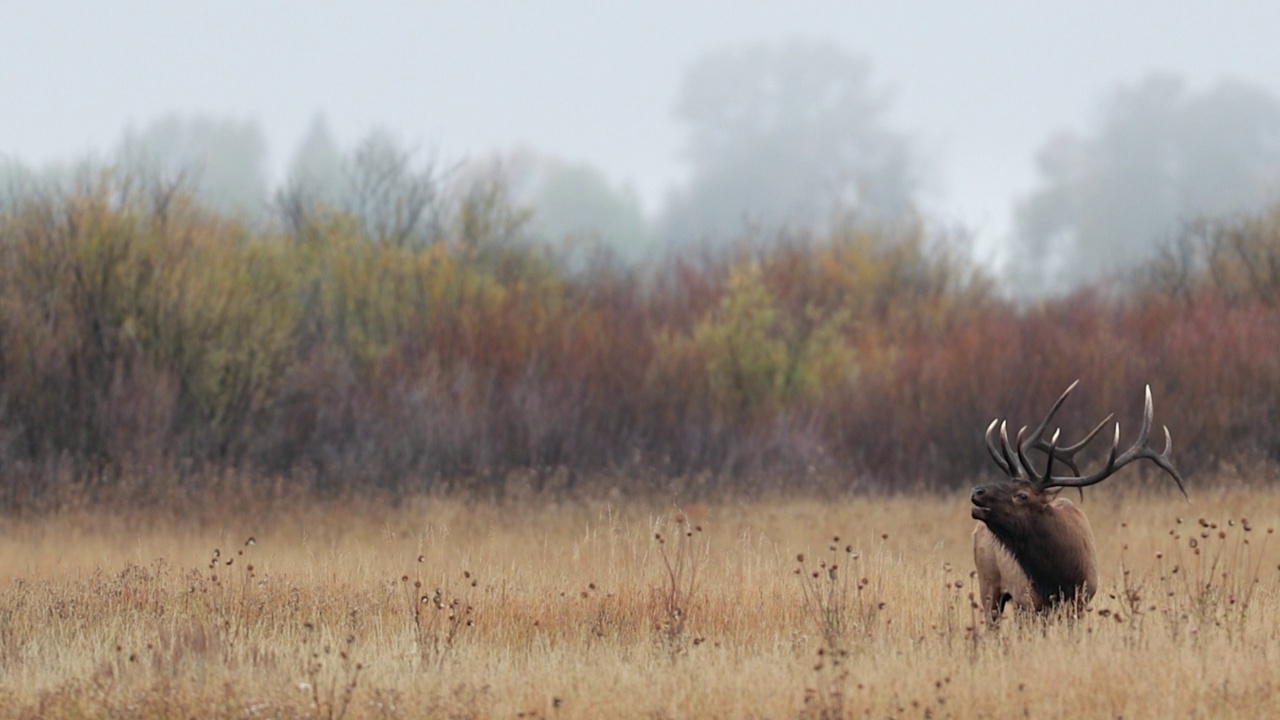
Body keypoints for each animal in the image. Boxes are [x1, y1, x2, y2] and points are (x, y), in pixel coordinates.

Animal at [967, 379, 1187, 620]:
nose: (977, 491)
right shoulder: (1028, 602)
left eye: (1022, 495)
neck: (1060, 577)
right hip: (989, 584)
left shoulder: (1081, 600)